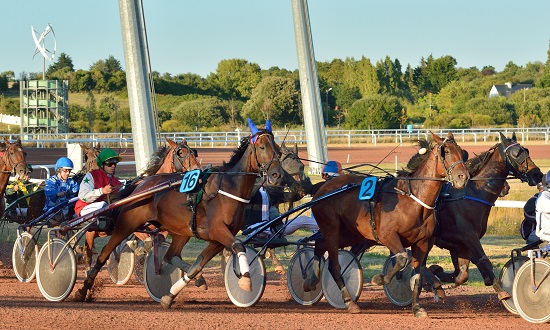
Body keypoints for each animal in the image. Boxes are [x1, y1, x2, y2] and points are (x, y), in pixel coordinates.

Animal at [74, 120, 284, 306]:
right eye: (262, 147)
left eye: (278, 149)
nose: (277, 175)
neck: (226, 189)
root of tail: (142, 184)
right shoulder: (217, 231)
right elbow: (239, 246)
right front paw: (245, 280)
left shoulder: (219, 238)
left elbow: (197, 265)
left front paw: (170, 296)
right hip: (127, 224)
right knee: (103, 253)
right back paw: (83, 289)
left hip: (180, 232)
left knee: (169, 256)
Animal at [310, 131, 470, 318]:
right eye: (446, 152)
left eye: (461, 152)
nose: (463, 177)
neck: (413, 200)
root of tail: (323, 189)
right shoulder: (387, 235)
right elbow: (401, 259)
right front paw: (379, 278)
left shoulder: (422, 242)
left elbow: (416, 276)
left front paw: (417, 308)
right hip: (332, 229)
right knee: (334, 265)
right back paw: (350, 302)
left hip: (350, 233)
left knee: (320, 244)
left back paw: (310, 279)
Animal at [426, 131, 544, 300]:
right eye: (516, 153)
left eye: (526, 150)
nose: (537, 174)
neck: (471, 194)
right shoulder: (468, 237)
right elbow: (484, 262)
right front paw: (503, 292)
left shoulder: (460, 244)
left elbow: (462, 274)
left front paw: (436, 271)